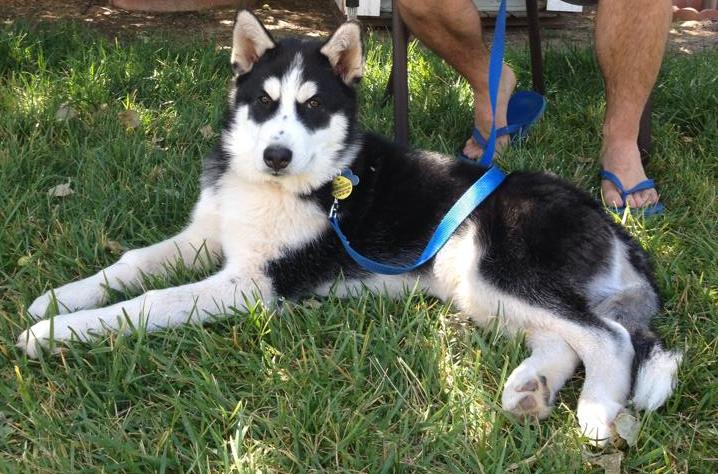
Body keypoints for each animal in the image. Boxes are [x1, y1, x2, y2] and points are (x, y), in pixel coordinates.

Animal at [18, 11, 681, 445]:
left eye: (313, 106)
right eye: (264, 102)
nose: (276, 156)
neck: (292, 187)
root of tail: (611, 225)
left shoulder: (255, 284)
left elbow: (152, 302)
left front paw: (57, 333)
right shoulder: (209, 236)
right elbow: (132, 262)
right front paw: (59, 299)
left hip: (494, 265)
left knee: (606, 337)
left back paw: (597, 411)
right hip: (474, 284)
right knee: (565, 336)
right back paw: (531, 389)